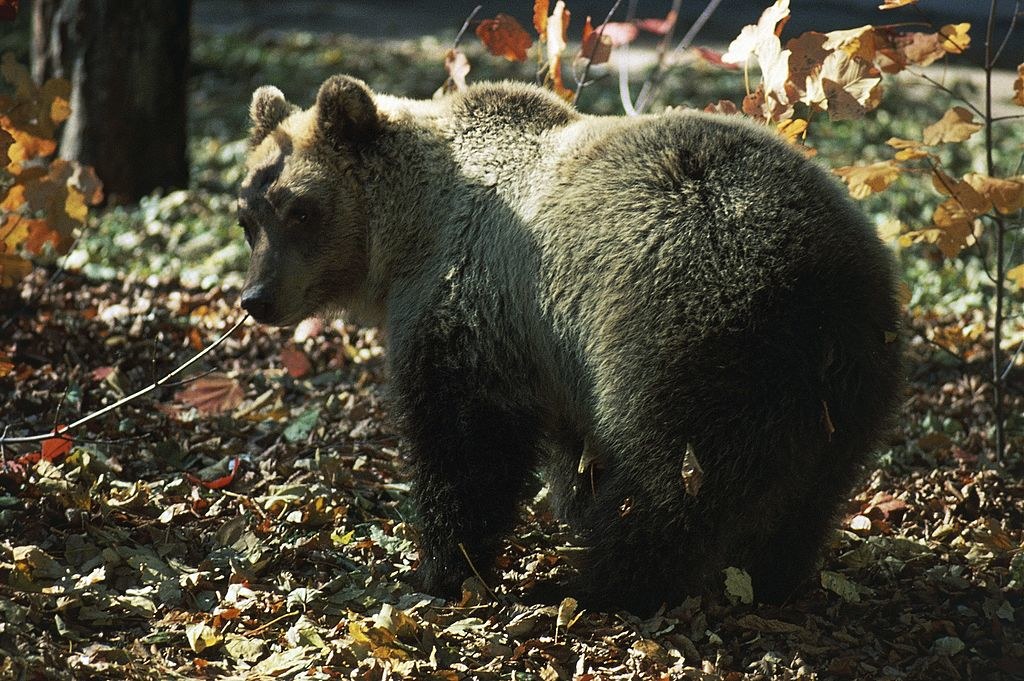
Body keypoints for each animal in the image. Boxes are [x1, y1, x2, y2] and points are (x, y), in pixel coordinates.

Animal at [235, 75, 901, 614]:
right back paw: (771, 577)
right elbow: (567, 451)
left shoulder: (475, 305)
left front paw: (441, 568)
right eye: (249, 218)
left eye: (300, 210)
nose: (257, 298)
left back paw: (595, 584)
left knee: (670, 482)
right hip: (853, 372)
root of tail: (816, 280)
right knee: (811, 491)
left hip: (678, 328)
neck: (411, 231)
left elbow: (464, 444)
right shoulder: (547, 351)